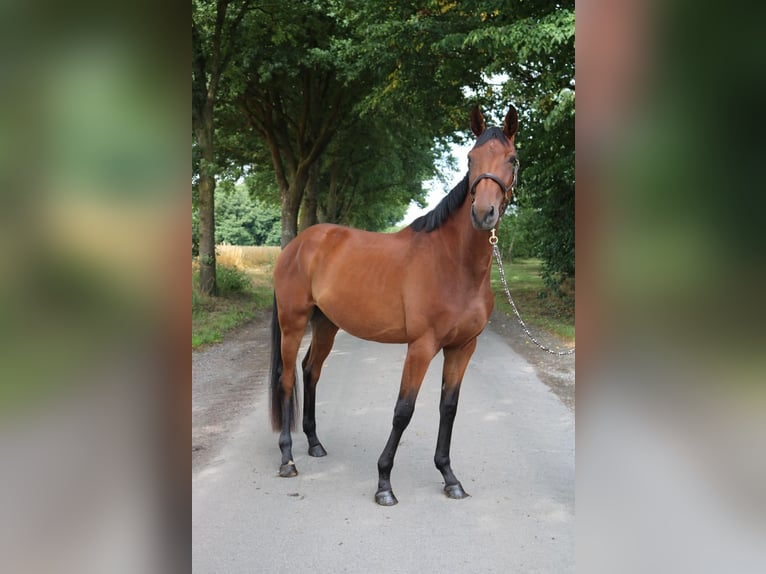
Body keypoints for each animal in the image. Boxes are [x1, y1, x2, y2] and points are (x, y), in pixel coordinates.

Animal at [269, 105, 519, 505]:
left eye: (511, 159)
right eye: (470, 159)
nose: (483, 214)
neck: (454, 264)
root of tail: (298, 244)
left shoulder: (463, 347)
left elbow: (448, 408)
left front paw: (449, 477)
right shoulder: (421, 346)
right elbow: (404, 410)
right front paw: (384, 482)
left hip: (326, 323)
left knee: (311, 370)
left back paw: (315, 444)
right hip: (292, 322)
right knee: (287, 379)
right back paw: (287, 459)